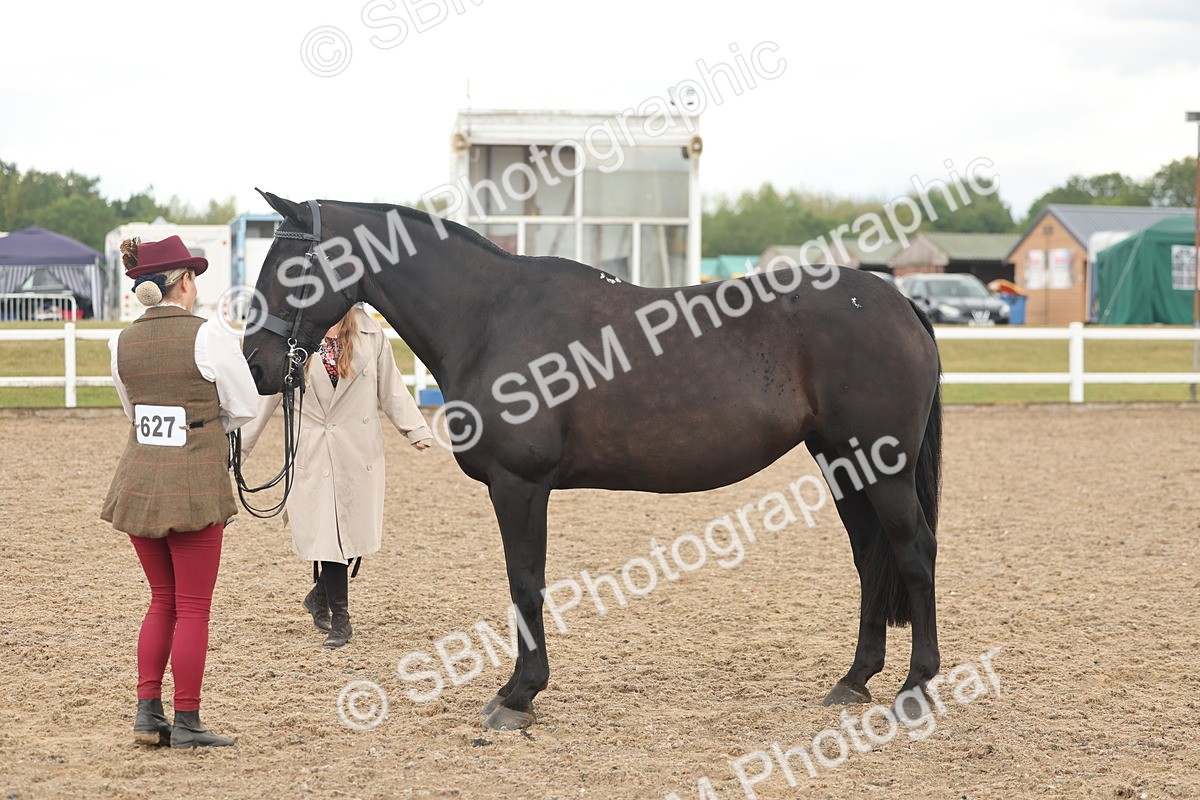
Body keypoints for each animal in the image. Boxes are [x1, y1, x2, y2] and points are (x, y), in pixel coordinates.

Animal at [242, 191, 942, 731]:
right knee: (870, 559)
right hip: (843, 463)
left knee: (912, 553)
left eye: (289, 265)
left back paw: (915, 688)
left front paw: (517, 697)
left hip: (881, 465)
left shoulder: (519, 486)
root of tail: (898, 302)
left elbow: (525, 582)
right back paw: (855, 680)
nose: (256, 365)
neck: (490, 317)